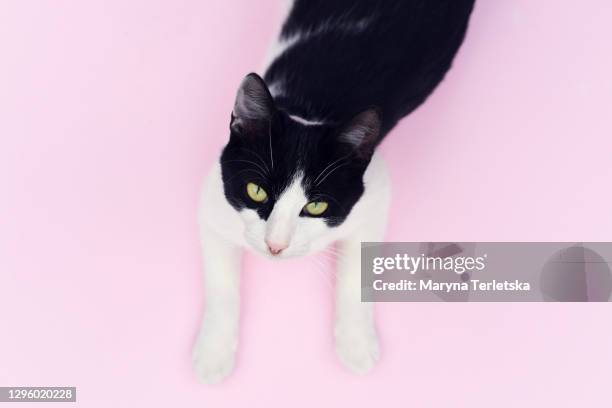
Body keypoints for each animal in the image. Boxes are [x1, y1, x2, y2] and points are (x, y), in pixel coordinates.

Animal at [194, 0, 476, 382]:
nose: (275, 246)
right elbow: (221, 283)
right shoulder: (214, 203)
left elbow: (357, 267)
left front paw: (356, 345)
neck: (308, 113)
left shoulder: (375, 192)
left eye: (315, 206)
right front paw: (213, 353)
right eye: (256, 191)